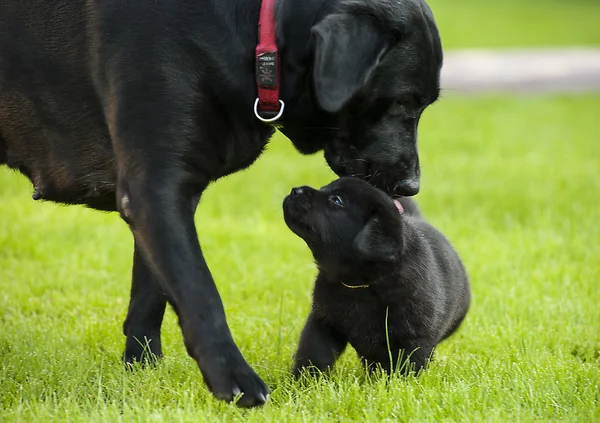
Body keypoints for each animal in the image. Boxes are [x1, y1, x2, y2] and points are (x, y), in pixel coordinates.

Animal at [0, 0, 440, 408]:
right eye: (402, 101)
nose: (412, 186)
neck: (258, 38)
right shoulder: (155, 189)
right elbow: (200, 293)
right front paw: (234, 379)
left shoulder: (168, 195)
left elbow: (149, 296)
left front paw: (141, 373)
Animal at [282, 177, 468, 376]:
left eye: (337, 200)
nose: (295, 190)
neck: (361, 284)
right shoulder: (324, 322)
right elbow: (314, 354)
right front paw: (303, 380)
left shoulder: (415, 336)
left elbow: (408, 365)